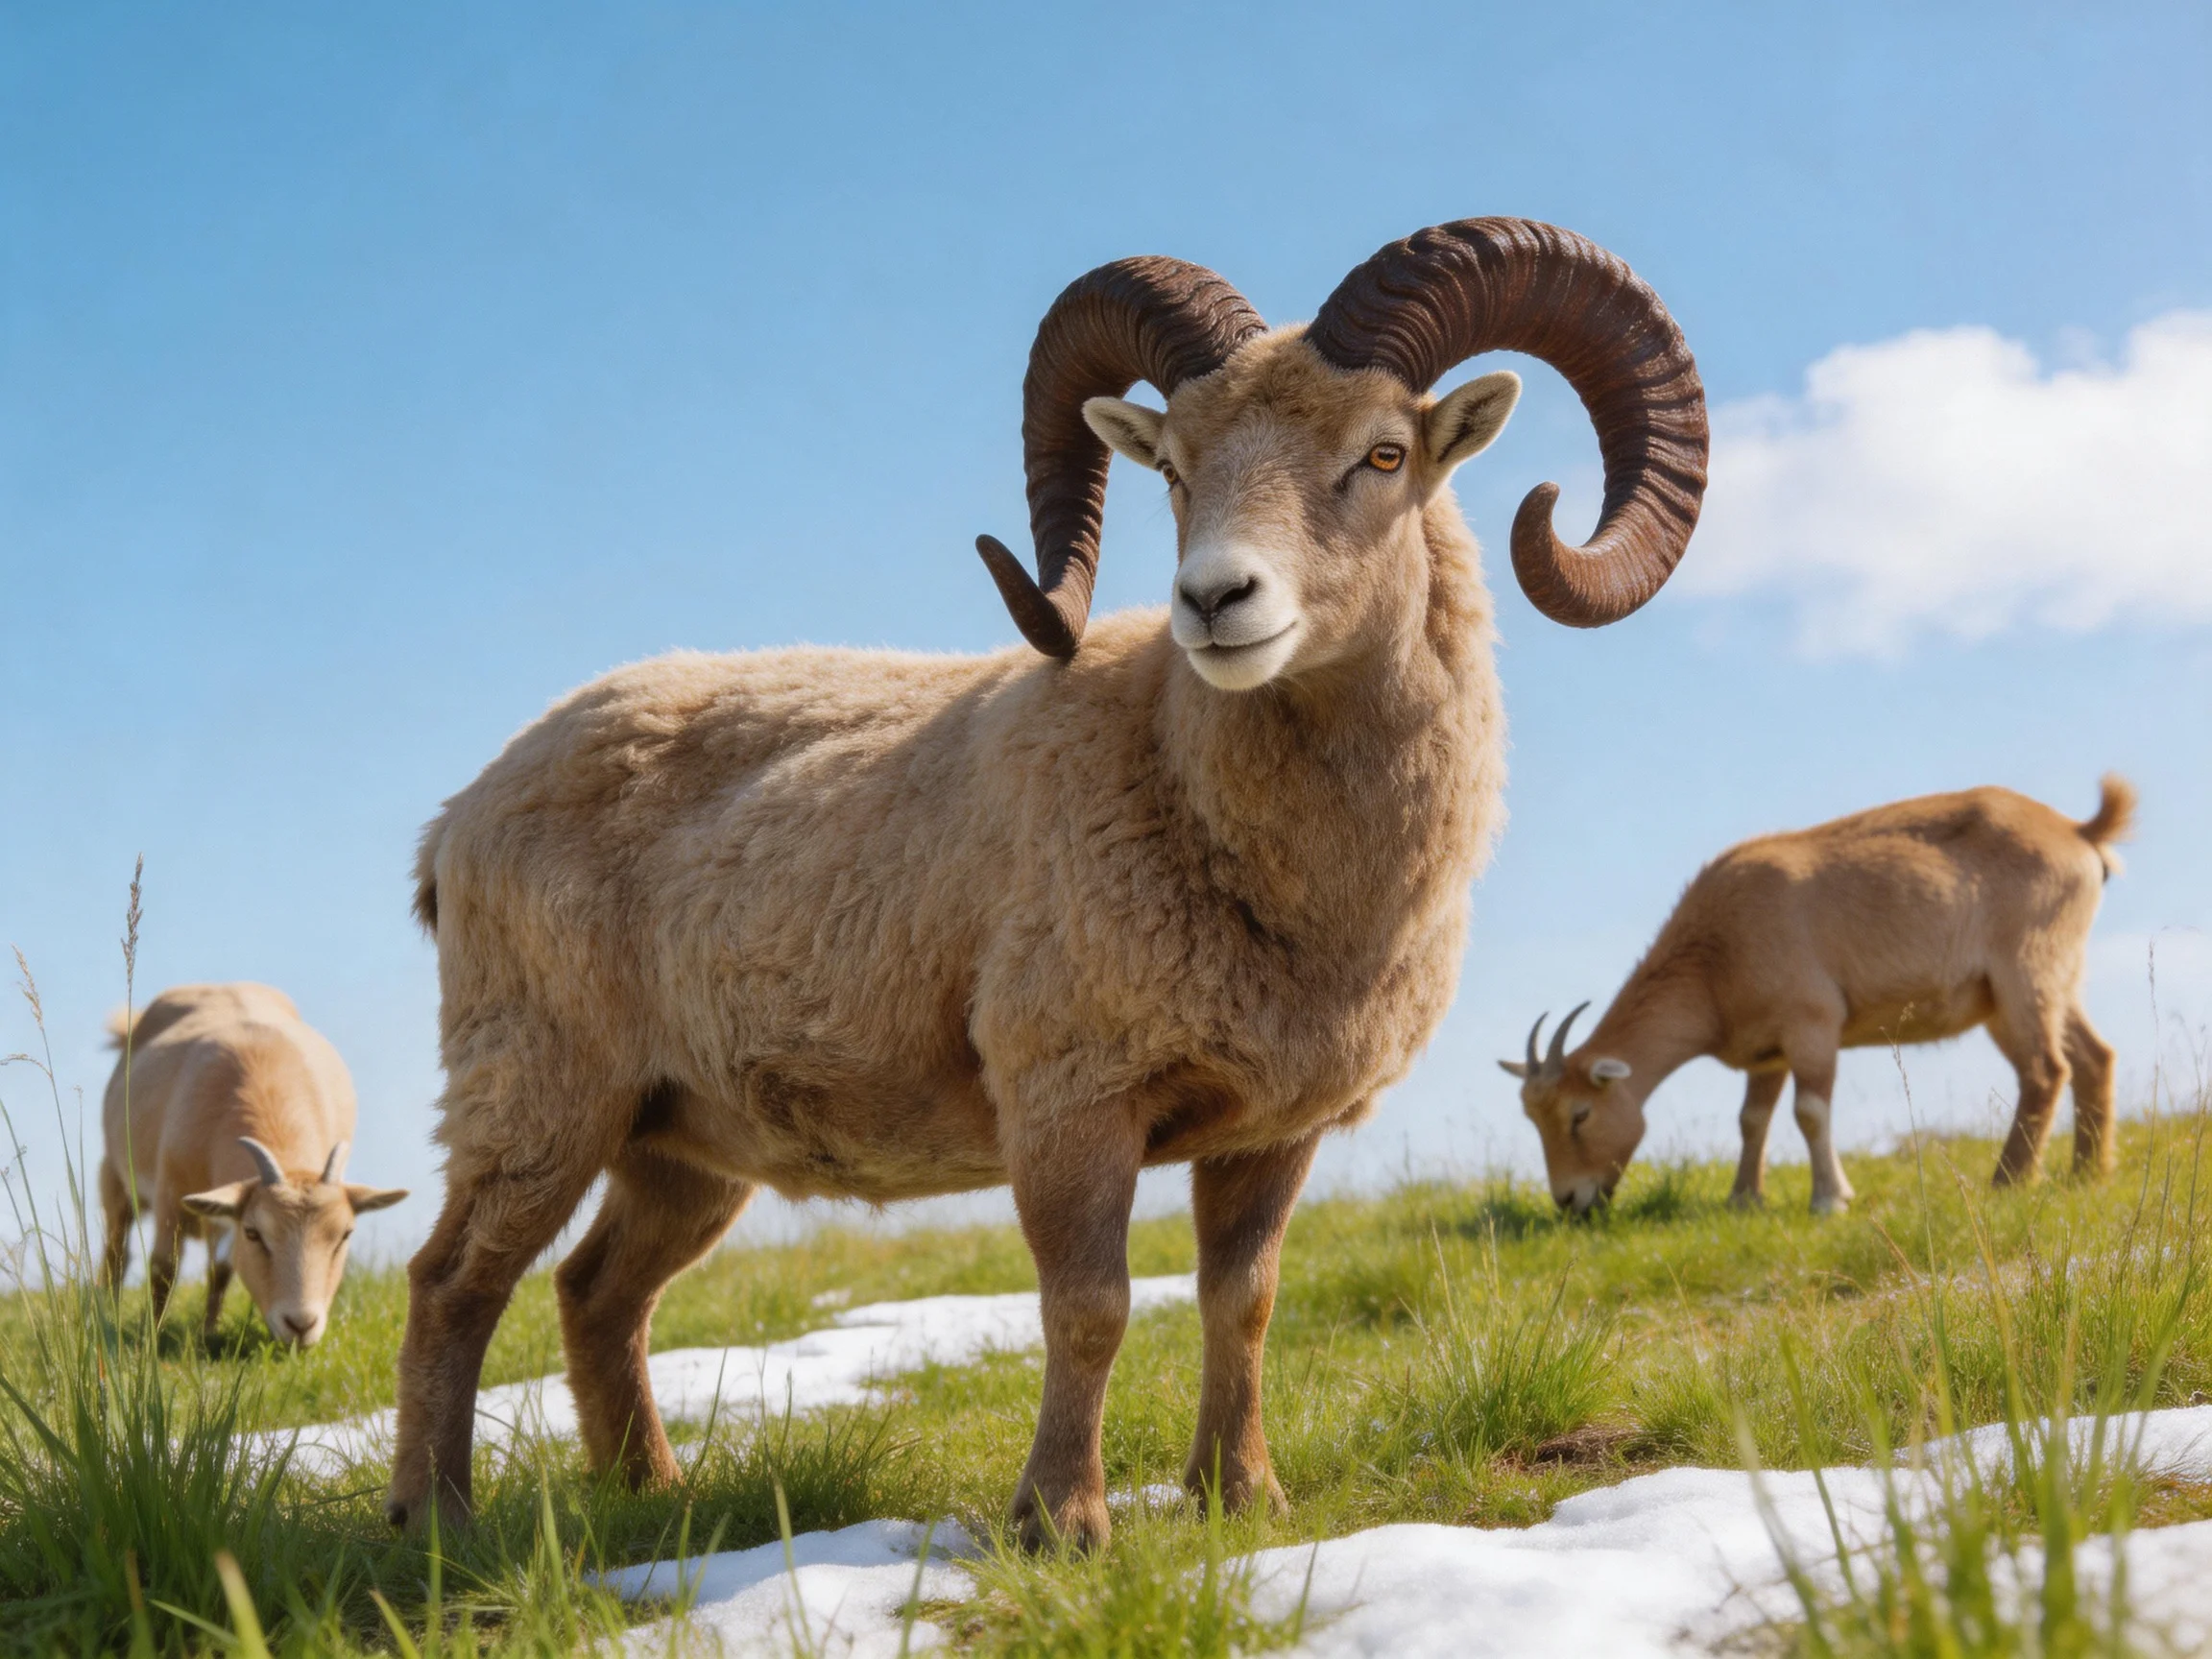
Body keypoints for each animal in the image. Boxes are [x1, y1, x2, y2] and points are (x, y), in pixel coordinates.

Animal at [100, 982, 407, 1345]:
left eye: (345, 1234)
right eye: (254, 1233)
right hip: (114, 1174)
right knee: (116, 1252)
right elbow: (164, 1268)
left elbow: (221, 1270)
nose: (300, 1324)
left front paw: (208, 1333)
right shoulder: (170, 1194)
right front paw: (151, 1338)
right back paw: (104, 1316)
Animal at [387, 219, 1710, 1547]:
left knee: (597, 1290)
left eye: (1384, 453)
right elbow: (1092, 1305)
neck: (1182, 777)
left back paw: (649, 1495)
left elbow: (1245, 1299)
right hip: (538, 1090)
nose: (1215, 601)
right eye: (1172, 467)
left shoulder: (1274, 1129)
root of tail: (458, 819)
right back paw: (433, 1520)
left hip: (677, 1137)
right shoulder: (1068, 1096)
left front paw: (1242, 1495)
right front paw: (1061, 1523)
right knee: (453, 1281)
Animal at [1503, 777, 2135, 1215]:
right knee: (2093, 1056)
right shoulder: (1766, 1048)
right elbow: (1752, 1119)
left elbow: (1809, 1111)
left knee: (2045, 1068)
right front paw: (1744, 1199)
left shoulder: (1811, 1022)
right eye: (1533, 1120)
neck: (1713, 958)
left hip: (2024, 969)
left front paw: (1829, 1200)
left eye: (1580, 1114)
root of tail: (2078, 832)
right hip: (2048, 978)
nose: (1570, 1201)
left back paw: (2008, 1181)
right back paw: (2089, 1173)